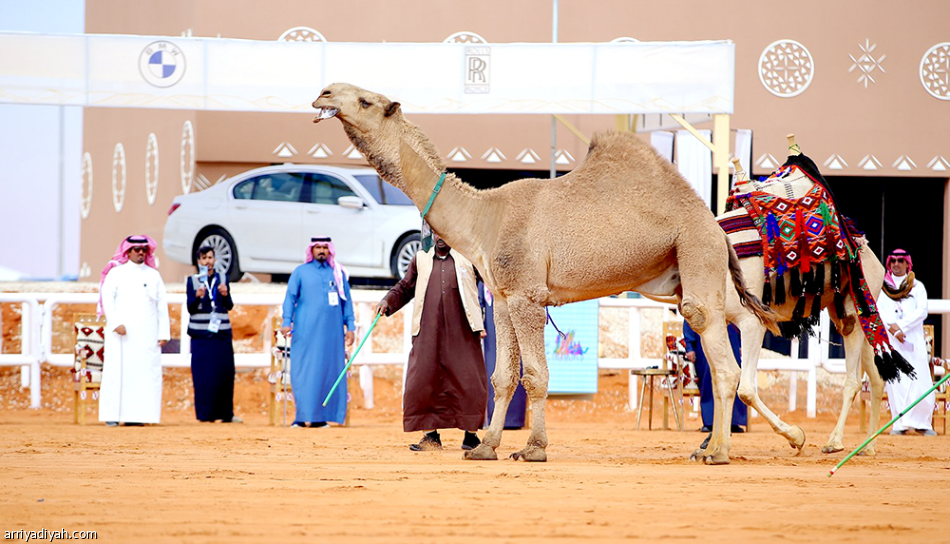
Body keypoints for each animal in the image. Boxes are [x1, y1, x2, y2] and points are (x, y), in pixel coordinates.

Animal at [312, 83, 780, 466]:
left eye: (365, 100)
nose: (323, 93)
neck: (484, 218)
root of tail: (715, 226)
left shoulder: (527, 296)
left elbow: (535, 375)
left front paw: (533, 448)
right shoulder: (503, 299)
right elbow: (501, 378)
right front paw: (486, 447)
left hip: (696, 252)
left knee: (719, 351)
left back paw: (718, 451)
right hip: (687, 272)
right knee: (738, 330)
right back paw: (750, 442)